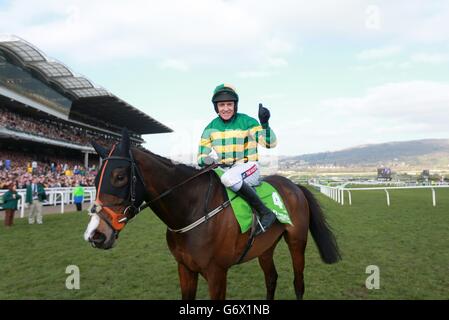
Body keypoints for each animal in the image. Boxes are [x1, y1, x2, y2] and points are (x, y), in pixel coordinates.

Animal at [83, 129, 340, 298]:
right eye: (94, 180)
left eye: (119, 177)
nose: (96, 235)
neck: (191, 209)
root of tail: (295, 185)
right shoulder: (185, 269)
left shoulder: (217, 274)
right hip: (265, 246)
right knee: (271, 278)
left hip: (297, 241)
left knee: (298, 283)